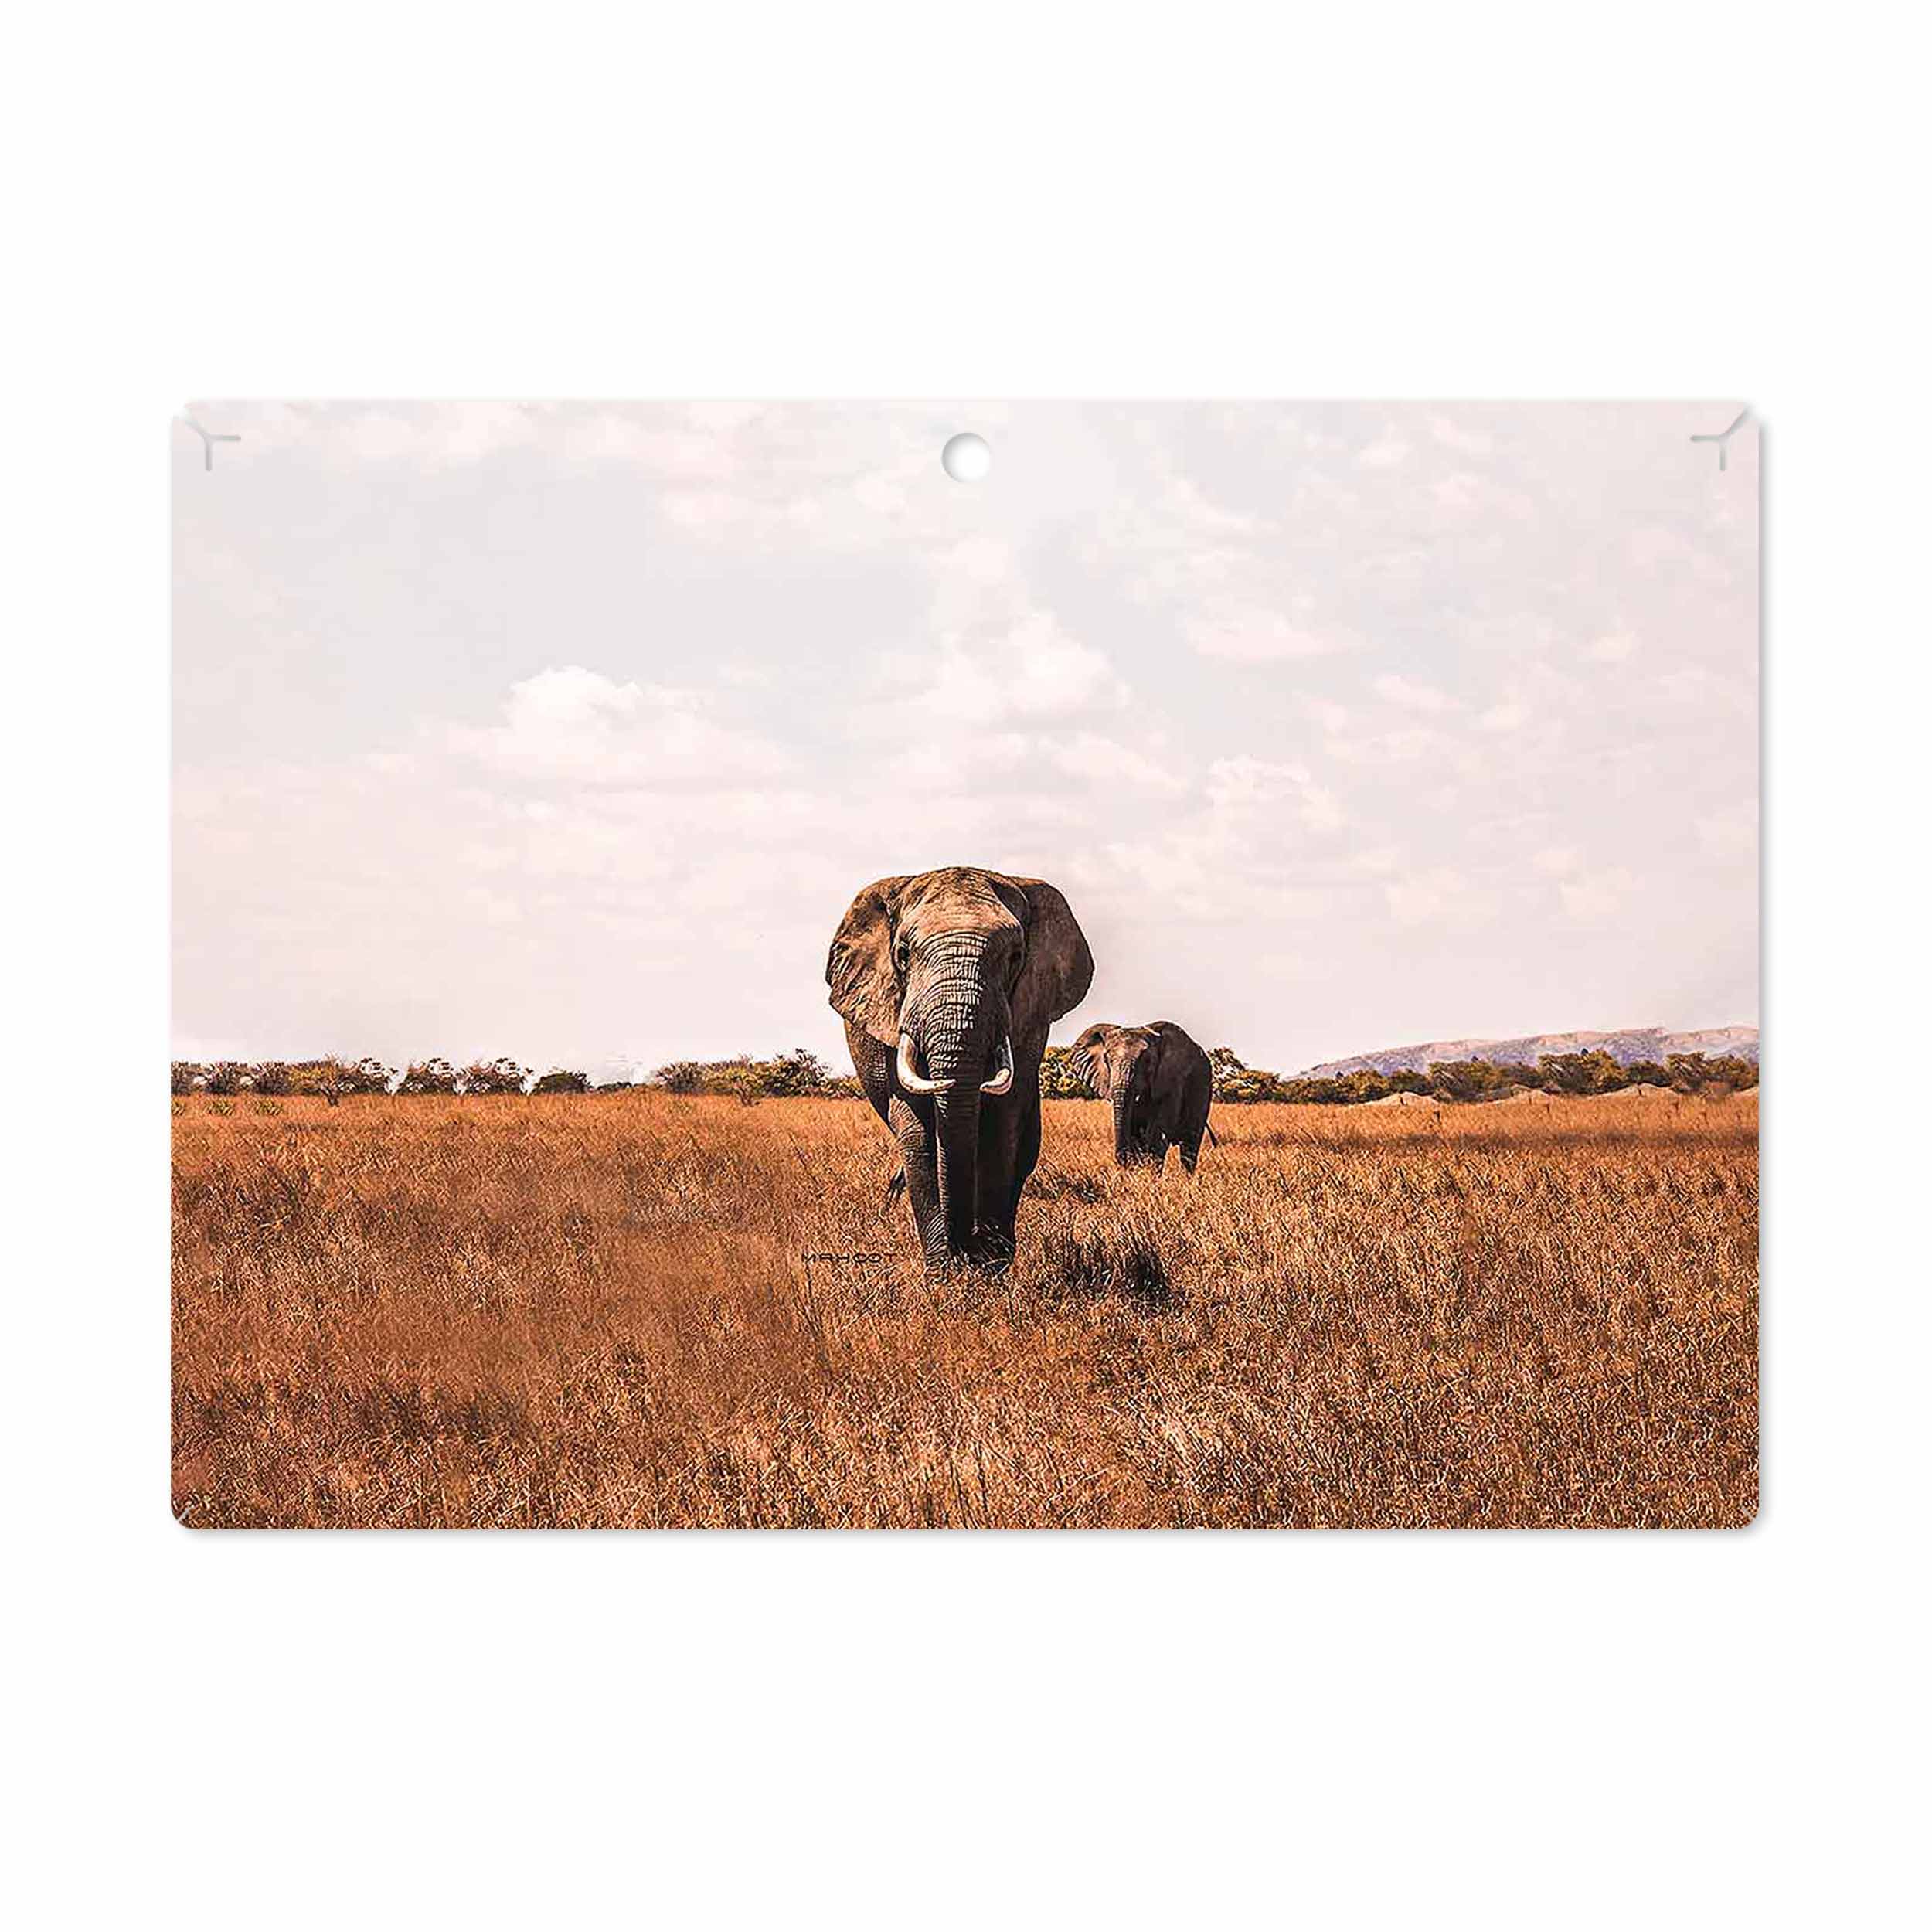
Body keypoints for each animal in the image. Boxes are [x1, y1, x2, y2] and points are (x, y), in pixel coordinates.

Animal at [827, 866, 1093, 1270]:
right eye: (903, 955)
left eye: (1015, 956)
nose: (965, 1249)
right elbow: (918, 1132)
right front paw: (944, 1273)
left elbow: (1002, 1124)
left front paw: (989, 1268)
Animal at [1071, 1020, 1216, 1172]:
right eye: (1106, 1060)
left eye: (1147, 1061)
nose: (1122, 1163)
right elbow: (1135, 1133)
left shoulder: (1173, 1080)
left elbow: (1157, 1134)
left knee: (1189, 1145)